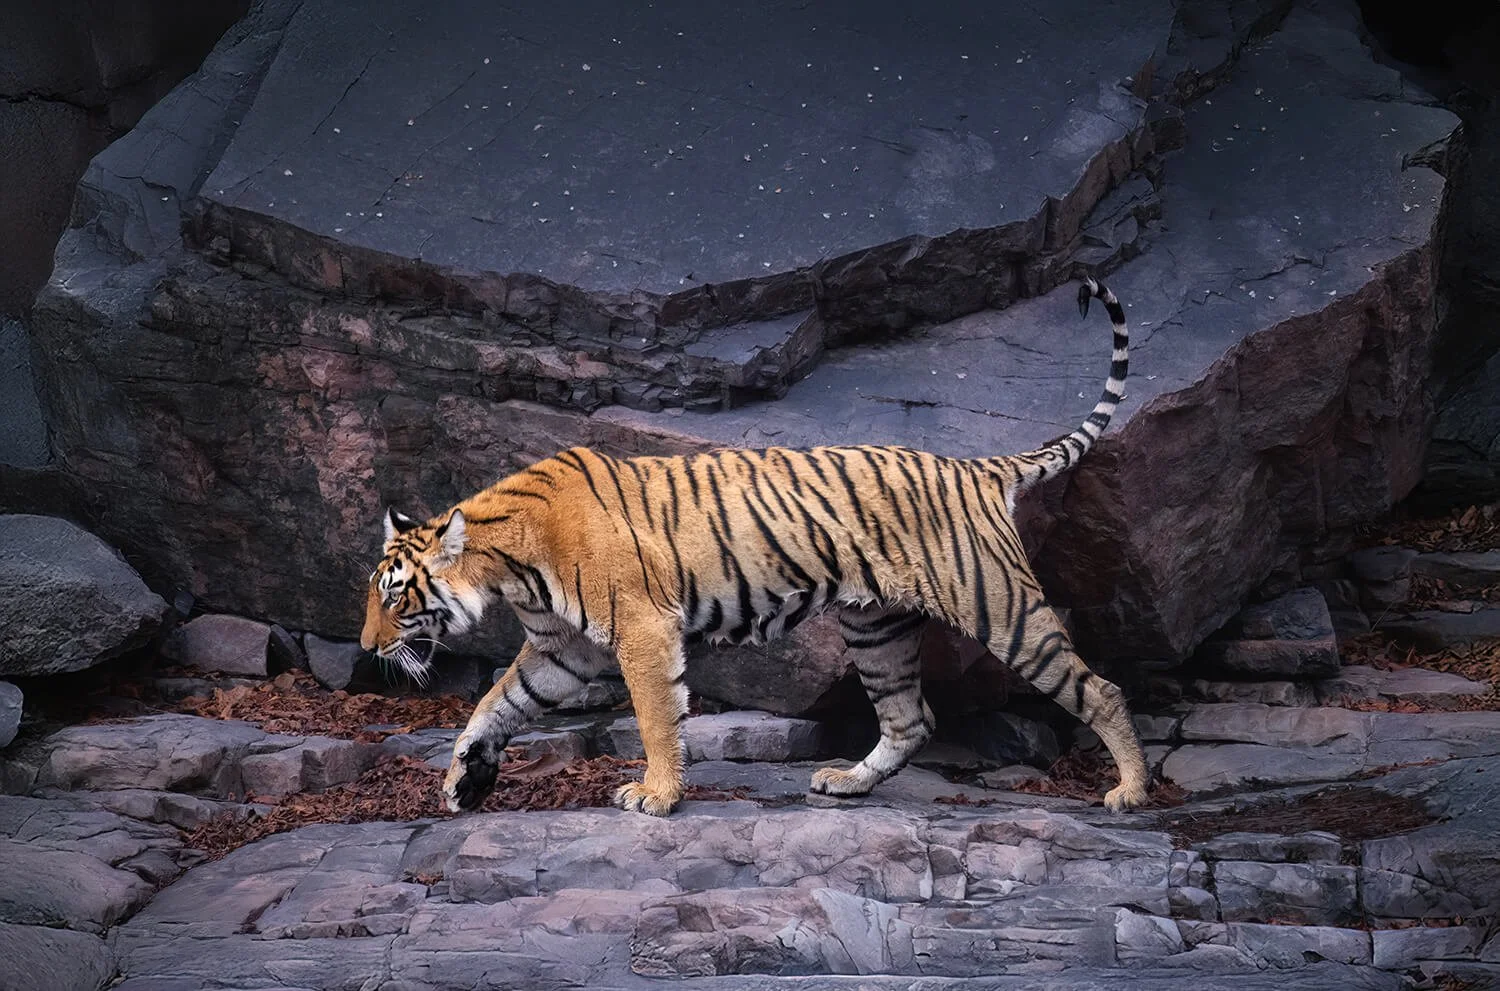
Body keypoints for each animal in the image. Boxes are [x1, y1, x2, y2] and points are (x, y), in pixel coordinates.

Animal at [359, 277, 1148, 817]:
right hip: (877, 626)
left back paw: (1131, 791)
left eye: (397, 598)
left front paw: (657, 794)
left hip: (999, 605)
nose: (367, 648)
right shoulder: (562, 647)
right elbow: (495, 703)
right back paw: (846, 782)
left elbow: (654, 715)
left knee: (1102, 688)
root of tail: (977, 467)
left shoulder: (641, 629)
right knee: (910, 718)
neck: (508, 564)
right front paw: (464, 777)